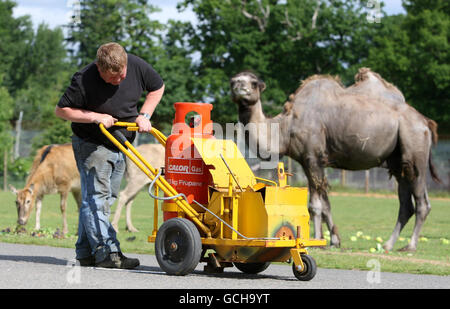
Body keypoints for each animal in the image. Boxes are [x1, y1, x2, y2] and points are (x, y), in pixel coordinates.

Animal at [232, 68, 440, 250]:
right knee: (407, 204)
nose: (239, 88)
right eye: (233, 81)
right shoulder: (309, 161)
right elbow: (325, 204)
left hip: (415, 147)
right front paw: (333, 240)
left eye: (254, 83)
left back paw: (410, 246)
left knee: (422, 203)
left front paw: (315, 240)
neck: (286, 127)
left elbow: (315, 205)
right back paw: (388, 245)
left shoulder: (313, 157)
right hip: (399, 163)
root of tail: (425, 122)